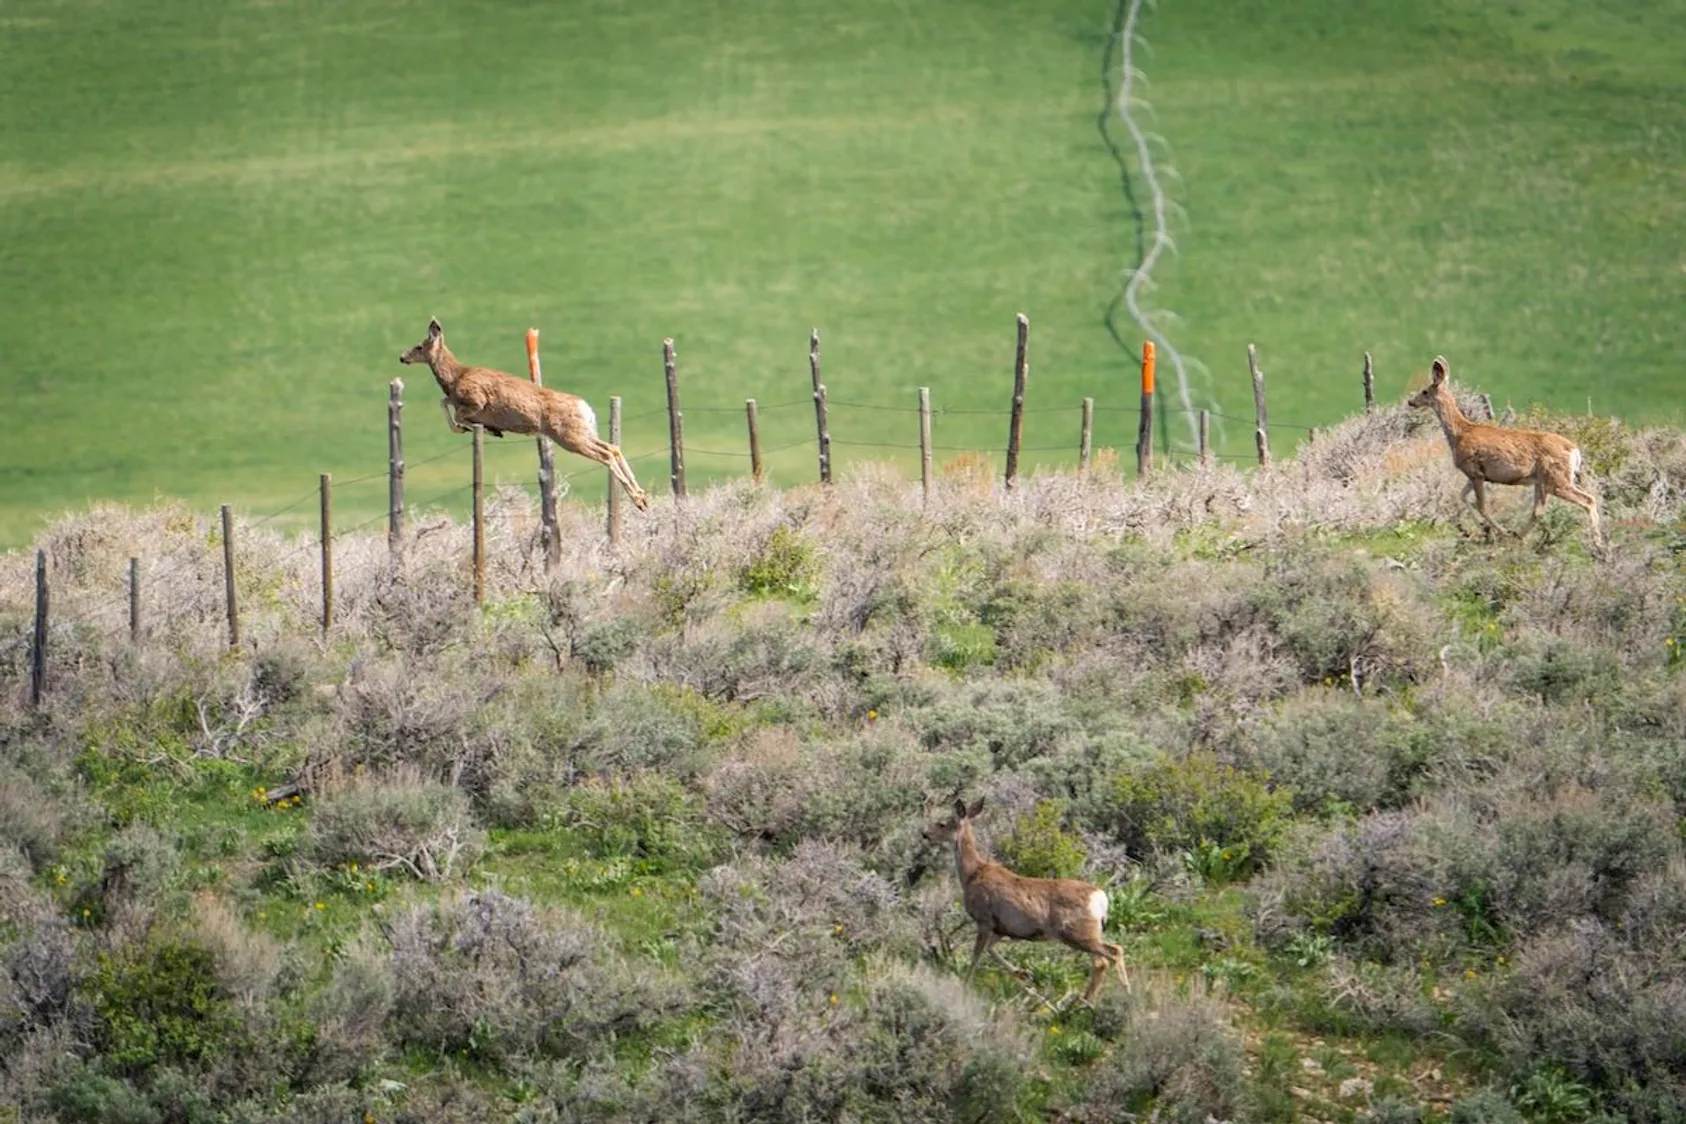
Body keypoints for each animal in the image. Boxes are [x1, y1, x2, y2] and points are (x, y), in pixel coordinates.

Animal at [398, 318, 649, 511]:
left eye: (419, 346)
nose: (402, 357)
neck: (455, 378)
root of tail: (584, 407)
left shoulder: (476, 399)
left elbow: (457, 415)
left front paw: (482, 429)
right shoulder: (457, 399)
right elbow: (444, 402)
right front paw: (491, 429)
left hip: (569, 437)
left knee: (606, 454)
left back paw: (638, 499)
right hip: (582, 432)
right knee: (613, 447)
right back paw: (642, 497)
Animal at [923, 797, 1129, 1003]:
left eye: (942, 823)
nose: (925, 834)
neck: (972, 874)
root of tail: (1100, 897)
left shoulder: (984, 919)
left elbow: (977, 955)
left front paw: (965, 988)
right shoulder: (1001, 928)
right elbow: (991, 950)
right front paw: (1023, 975)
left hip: (1077, 932)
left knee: (1109, 956)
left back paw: (1105, 999)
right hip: (1089, 932)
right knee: (1108, 956)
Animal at [1408, 356, 1600, 543]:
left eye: (1425, 391)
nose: (1411, 402)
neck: (1460, 433)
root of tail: (1575, 450)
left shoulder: (1475, 472)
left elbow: (1481, 506)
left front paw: (1496, 530)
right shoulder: (1476, 475)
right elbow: (1462, 496)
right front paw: (1485, 529)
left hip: (1556, 478)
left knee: (1587, 500)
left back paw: (1596, 542)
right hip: (1542, 481)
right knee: (1539, 510)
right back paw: (1518, 537)